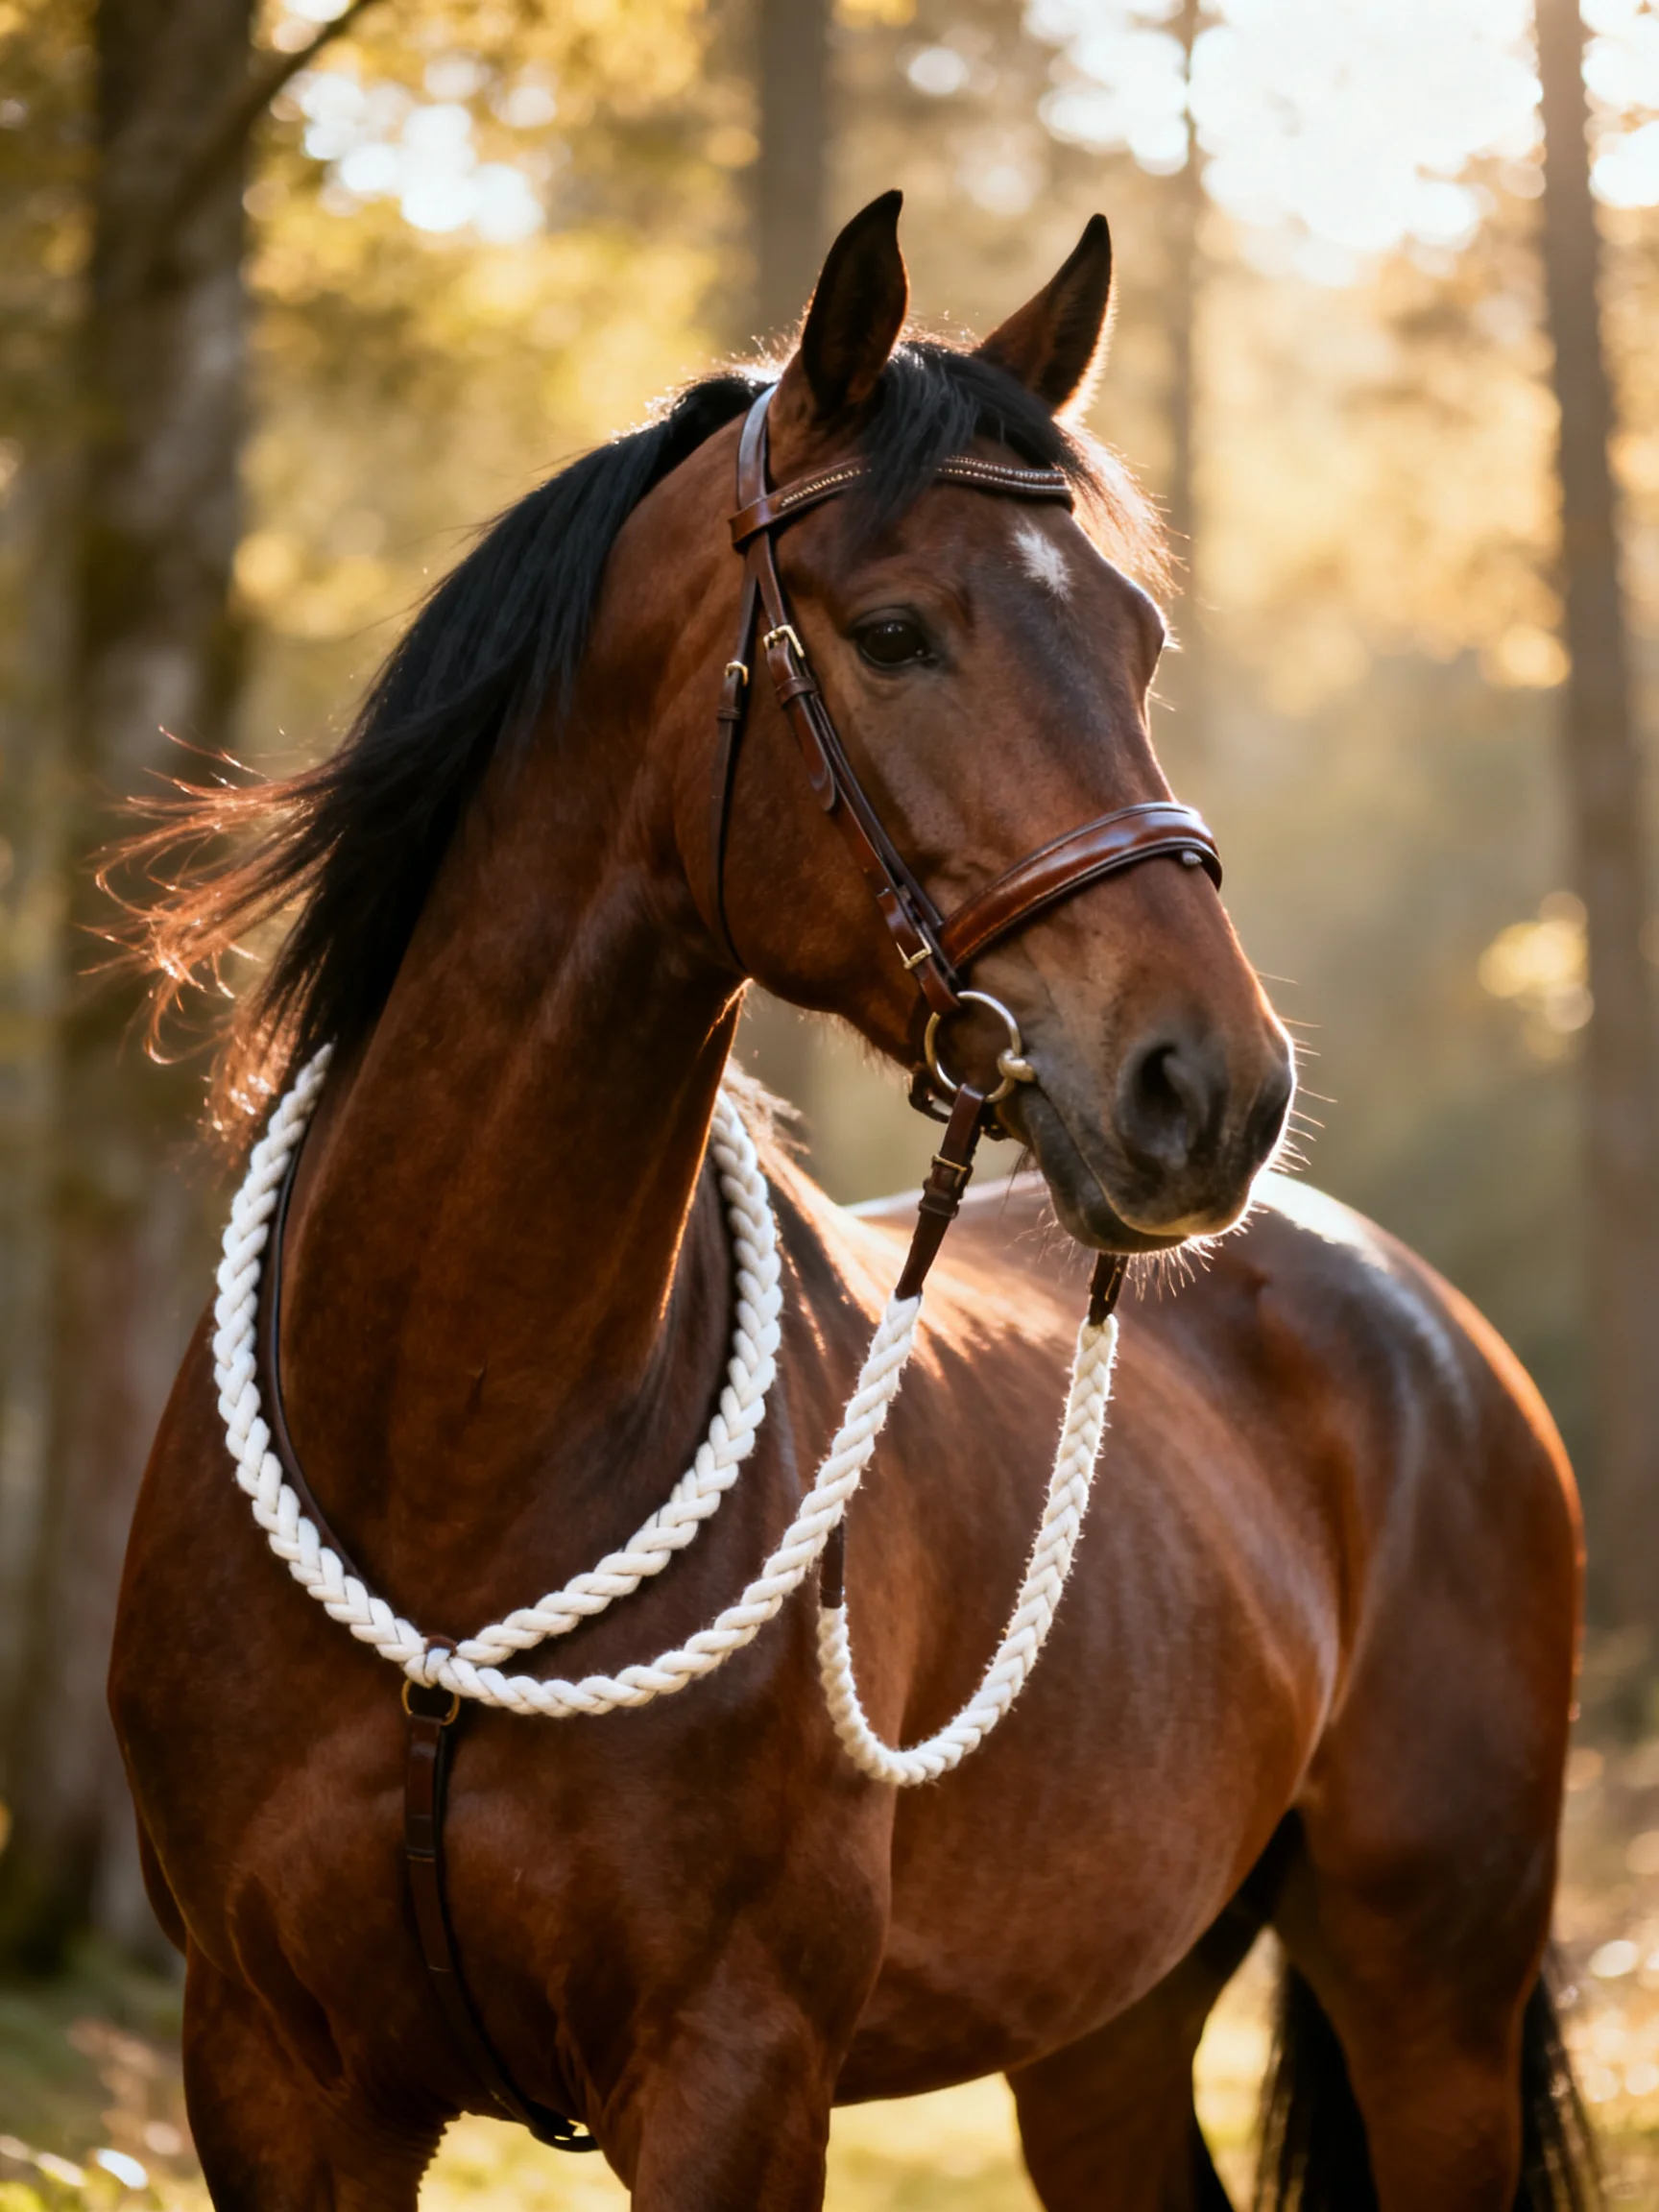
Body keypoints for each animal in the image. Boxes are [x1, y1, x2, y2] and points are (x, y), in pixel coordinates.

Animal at [110, 193, 1594, 2209]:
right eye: (892, 634)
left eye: (1136, 642)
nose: (1212, 1088)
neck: (444, 1475)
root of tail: (1424, 1325)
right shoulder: (271, 2077)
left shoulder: (732, 2076)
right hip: (1105, 2022)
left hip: (1429, 1996)